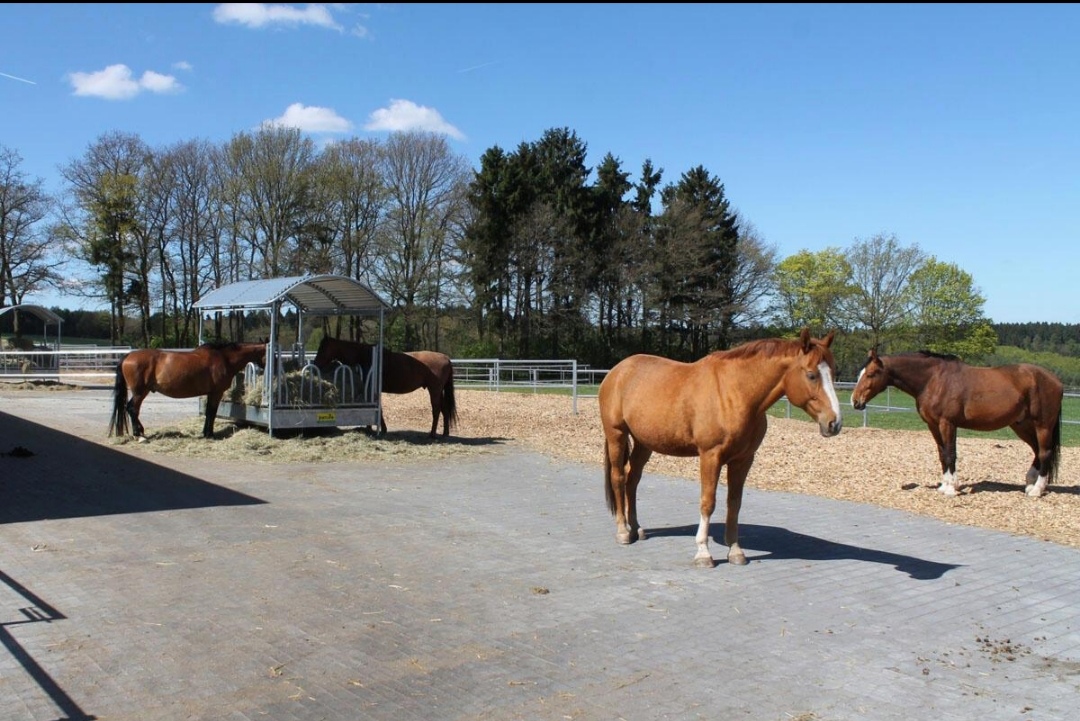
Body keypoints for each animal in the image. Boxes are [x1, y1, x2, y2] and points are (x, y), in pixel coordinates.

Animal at [109, 341, 268, 440]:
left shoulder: (210, 393)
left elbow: (208, 412)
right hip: (140, 392)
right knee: (132, 408)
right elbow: (212, 413)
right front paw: (210, 434)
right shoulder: (216, 393)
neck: (224, 358)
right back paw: (139, 434)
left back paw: (140, 431)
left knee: (133, 409)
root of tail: (128, 356)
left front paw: (205, 433)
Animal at [312, 336, 458, 438]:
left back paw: (432, 434)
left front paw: (378, 429)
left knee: (436, 410)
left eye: (322, 348)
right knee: (444, 410)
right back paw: (445, 433)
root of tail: (446, 358)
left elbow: (378, 408)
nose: (315, 364)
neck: (365, 356)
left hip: (434, 390)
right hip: (439, 391)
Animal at [598, 328, 843, 568]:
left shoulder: (743, 459)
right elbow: (708, 502)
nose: (834, 423)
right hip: (617, 435)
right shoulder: (710, 456)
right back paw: (623, 532)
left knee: (632, 480)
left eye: (833, 374)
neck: (734, 393)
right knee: (619, 478)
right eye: (811, 375)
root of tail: (617, 371)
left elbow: (734, 503)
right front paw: (703, 553)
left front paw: (735, 551)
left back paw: (636, 528)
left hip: (644, 443)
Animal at [851, 349, 1064, 498]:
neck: (933, 380)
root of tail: (1055, 380)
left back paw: (1037, 490)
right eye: (860, 373)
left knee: (1044, 453)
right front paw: (944, 486)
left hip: (1042, 425)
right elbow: (942, 454)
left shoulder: (948, 424)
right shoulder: (933, 425)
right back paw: (1029, 484)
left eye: (870, 374)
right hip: (1021, 425)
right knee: (1037, 451)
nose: (855, 401)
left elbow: (951, 454)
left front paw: (952, 489)